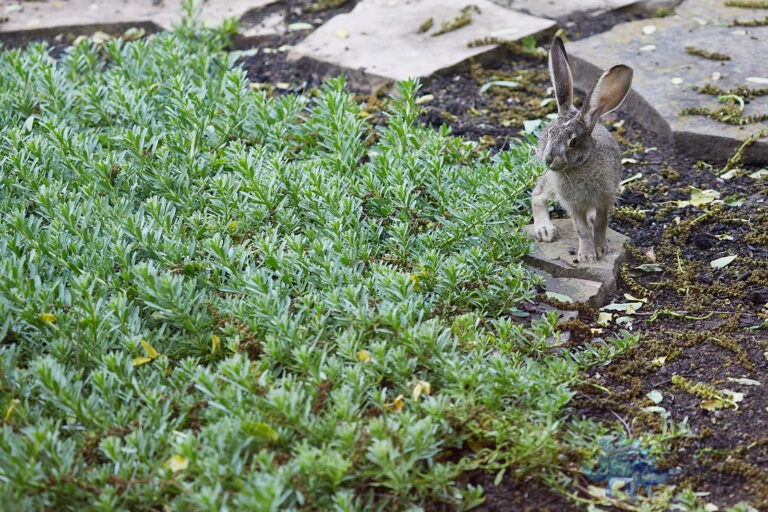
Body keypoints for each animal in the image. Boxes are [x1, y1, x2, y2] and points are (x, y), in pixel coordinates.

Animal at [531, 36, 633, 264]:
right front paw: (587, 256)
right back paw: (545, 230)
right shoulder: (574, 204)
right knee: (538, 195)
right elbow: (582, 229)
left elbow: (602, 223)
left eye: (573, 142)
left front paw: (601, 248)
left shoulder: (605, 198)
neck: (581, 165)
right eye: (550, 133)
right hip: (549, 180)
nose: (548, 159)